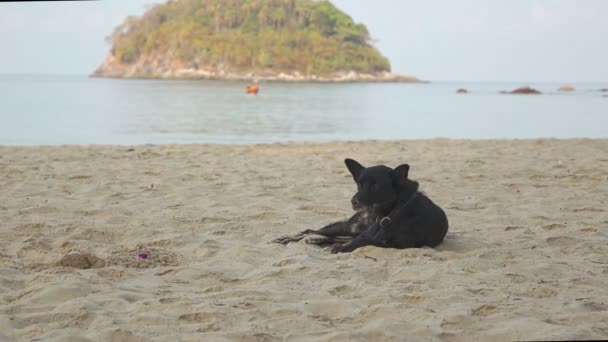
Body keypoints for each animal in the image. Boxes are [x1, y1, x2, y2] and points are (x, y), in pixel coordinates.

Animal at [274, 159, 448, 252]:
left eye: (376, 186)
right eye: (359, 183)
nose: (354, 201)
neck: (391, 212)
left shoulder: (399, 245)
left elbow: (364, 242)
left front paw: (340, 248)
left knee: (334, 237)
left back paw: (318, 240)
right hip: (349, 227)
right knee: (312, 230)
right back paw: (293, 238)